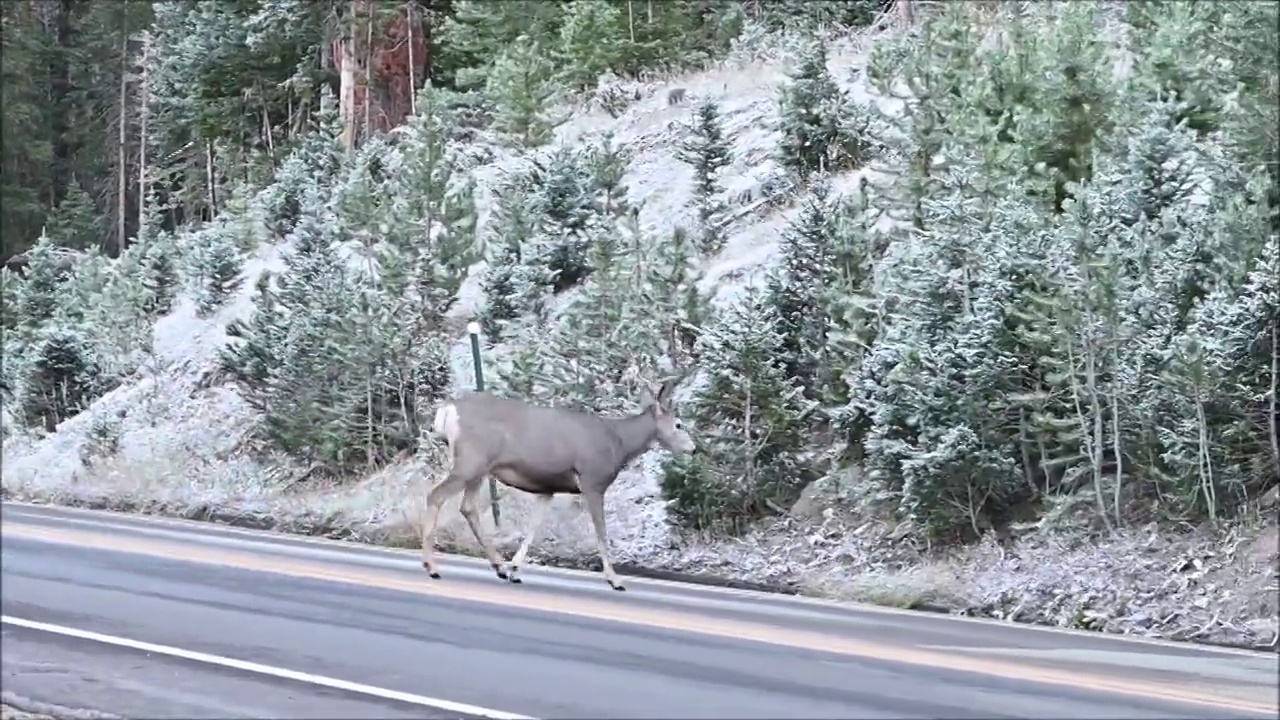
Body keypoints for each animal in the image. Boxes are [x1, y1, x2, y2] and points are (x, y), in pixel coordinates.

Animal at [424, 376, 696, 589]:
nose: (692, 449)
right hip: (471, 461)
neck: (618, 443)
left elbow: (534, 527)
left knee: (467, 507)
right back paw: (431, 567)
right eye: (678, 424)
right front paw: (615, 579)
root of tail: (447, 410)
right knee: (436, 495)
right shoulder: (593, 480)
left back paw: (498, 566)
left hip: (479, 468)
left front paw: (515, 570)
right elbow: (601, 532)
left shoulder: (547, 488)